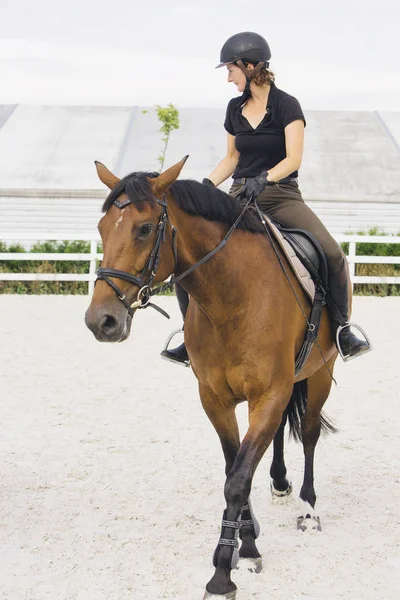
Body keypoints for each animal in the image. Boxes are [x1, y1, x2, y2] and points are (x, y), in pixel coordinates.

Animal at [86, 158, 342, 600]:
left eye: (144, 228)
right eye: (103, 228)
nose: (101, 321)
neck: (232, 296)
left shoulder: (268, 395)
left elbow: (237, 480)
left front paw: (222, 573)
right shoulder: (216, 399)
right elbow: (233, 469)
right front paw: (248, 544)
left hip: (320, 375)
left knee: (309, 434)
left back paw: (308, 511)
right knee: (279, 435)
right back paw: (279, 484)